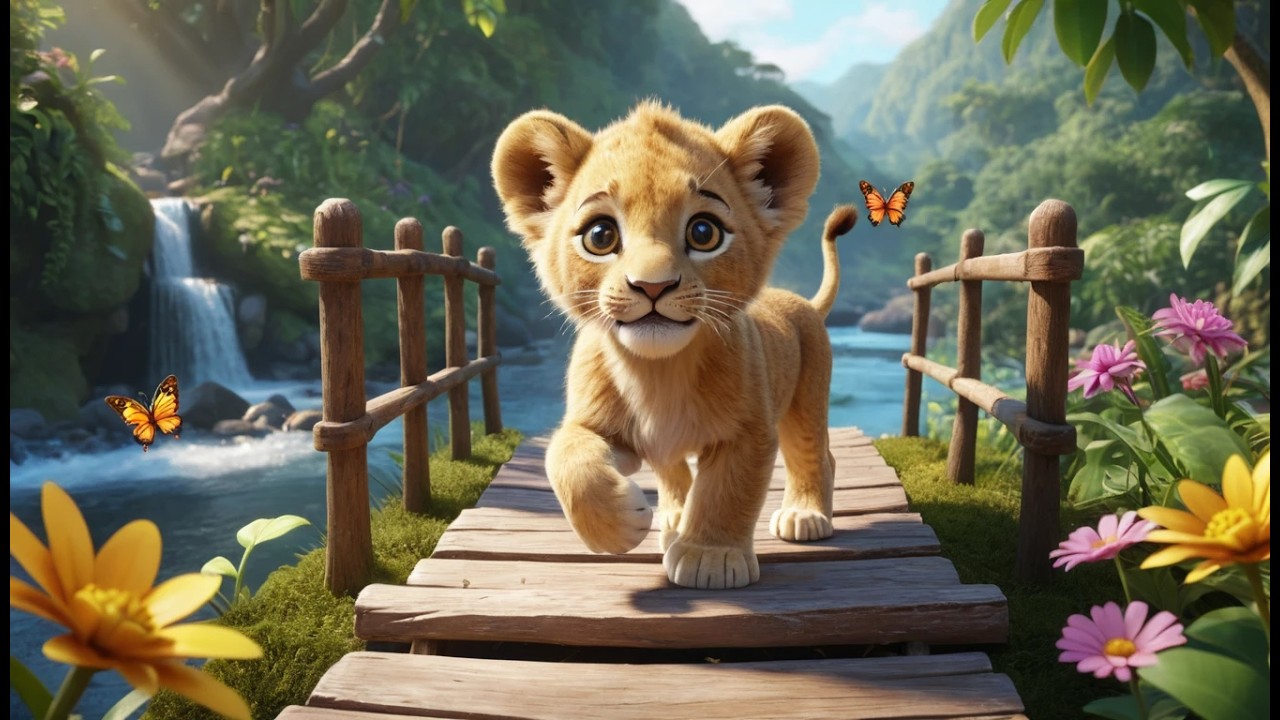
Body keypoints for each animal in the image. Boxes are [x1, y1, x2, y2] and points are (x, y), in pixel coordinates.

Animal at [491, 101, 855, 589]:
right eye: (600, 236)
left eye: (704, 232)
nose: (652, 286)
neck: (656, 370)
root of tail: (804, 303)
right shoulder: (602, 427)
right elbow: (565, 456)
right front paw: (620, 524)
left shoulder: (748, 431)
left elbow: (727, 490)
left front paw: (711, 558)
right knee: (672, 469)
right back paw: (674, 518)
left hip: (806, 399)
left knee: (814, 453)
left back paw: (805, 516)